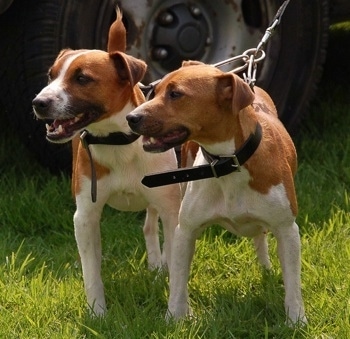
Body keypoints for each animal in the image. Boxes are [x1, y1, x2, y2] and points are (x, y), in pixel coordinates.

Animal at [31, 11, 180, 318]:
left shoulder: (171, 210)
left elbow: (176, 263)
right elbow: (92, 272)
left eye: (82, 78)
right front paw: (97, 313)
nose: (39, 102)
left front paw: (176, 312)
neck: (118, 143)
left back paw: (157, 266)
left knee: (150, 226)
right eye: (51, 75)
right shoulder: (86, 216)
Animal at [126, 59, 306, 326]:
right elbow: (178, 282)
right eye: (154, 91)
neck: (227, 162)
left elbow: (293, 283)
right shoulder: (186, 230)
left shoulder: (287, 229)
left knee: (260, 236)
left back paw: (265, 267)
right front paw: (174, 317)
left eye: (175, 94)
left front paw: (296, 321)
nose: (131, 117)